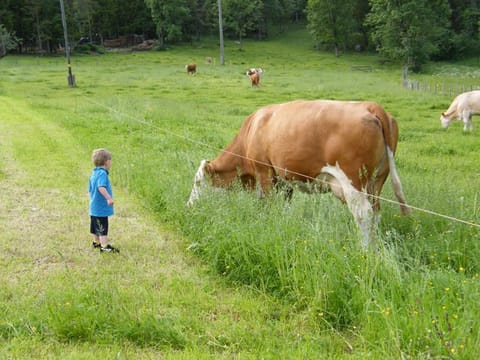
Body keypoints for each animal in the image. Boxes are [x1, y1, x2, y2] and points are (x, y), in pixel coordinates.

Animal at [188, 100, 408, 248]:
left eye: (197, 183)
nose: (189, 206)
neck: (251, 129)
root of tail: (371, 106)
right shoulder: (284, 179)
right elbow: (284, 205)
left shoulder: (264, 171)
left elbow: (267, 204)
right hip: (376, 182)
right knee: (376, 213)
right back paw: (375, 248)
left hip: (353, 182)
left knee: (364, 214)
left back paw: (364, 251)